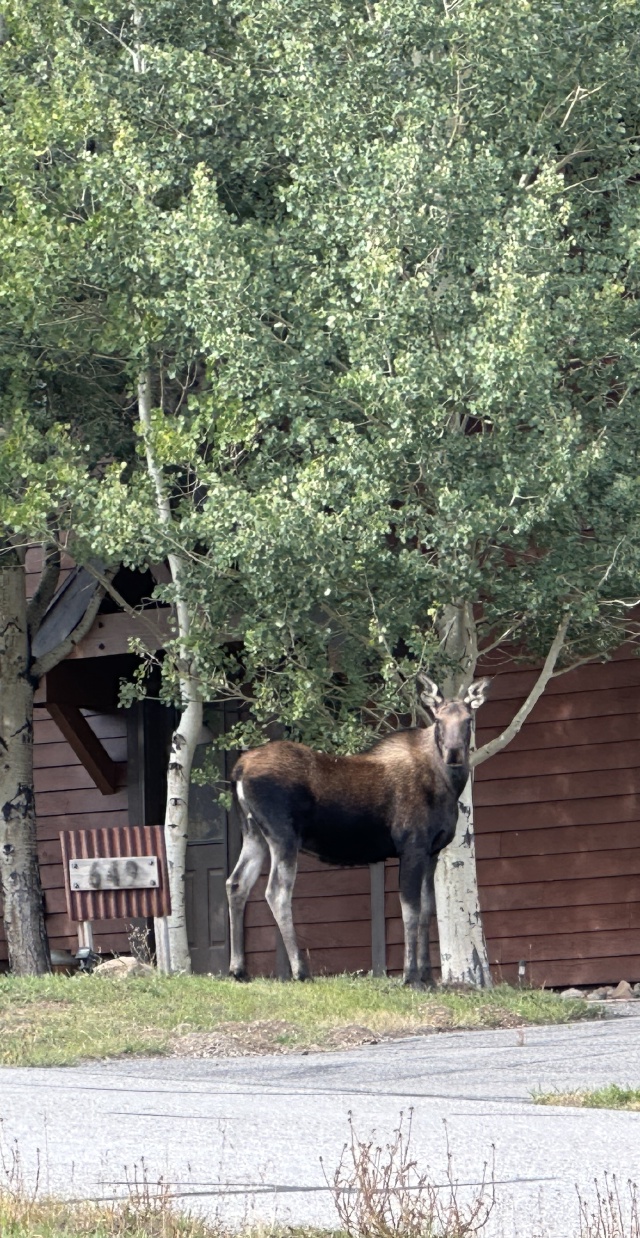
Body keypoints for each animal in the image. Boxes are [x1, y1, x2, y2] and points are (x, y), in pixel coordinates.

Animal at [226, 676, 491, 988]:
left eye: (468, 719)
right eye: (438, 720)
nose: (454, 753)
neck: (449, 786)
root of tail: (239, 769)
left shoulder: (432, 851)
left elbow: (427, 909)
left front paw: (427, 976)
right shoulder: (412, 846)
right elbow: (411, 909)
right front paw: (410, 976)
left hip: (253, 832)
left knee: (236, 883)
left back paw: (238, 970)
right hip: (283, 835)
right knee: (276, 891)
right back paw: (300, 971)